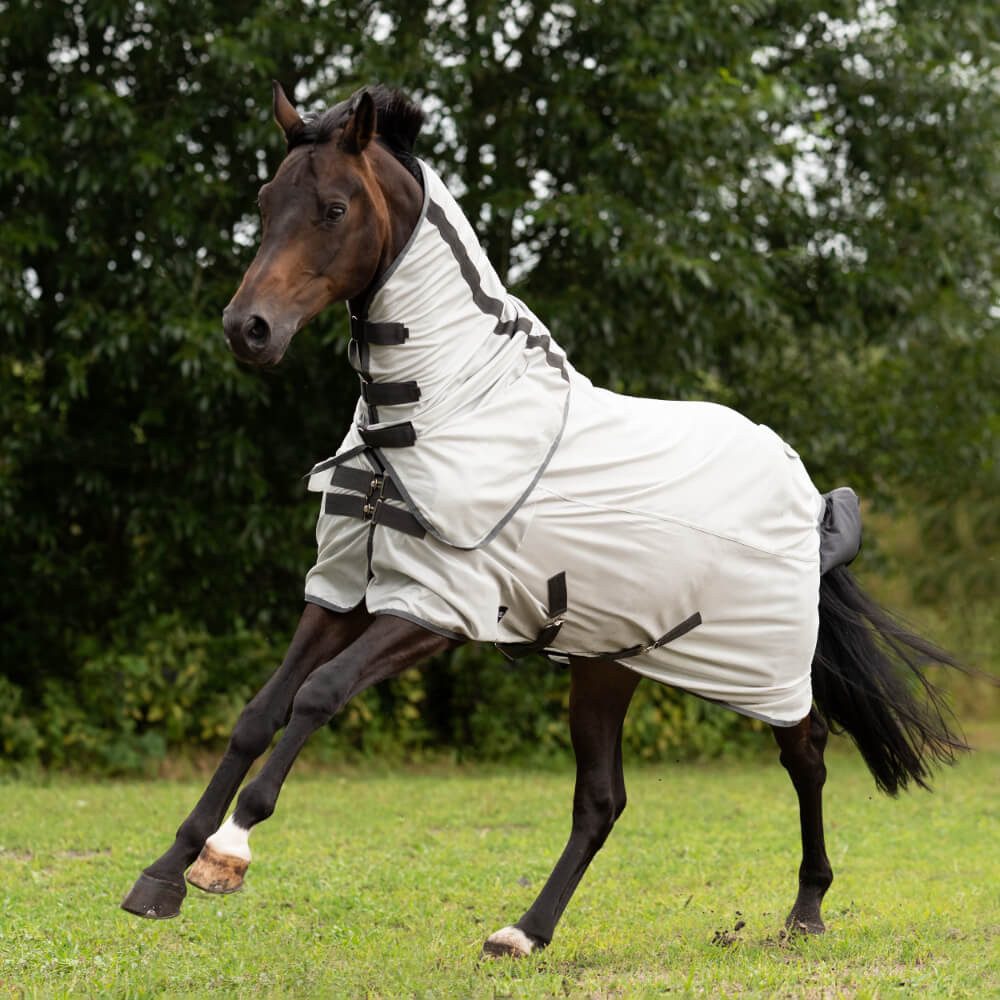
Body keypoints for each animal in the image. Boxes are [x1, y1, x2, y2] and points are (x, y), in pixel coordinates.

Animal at [121, 83, 969, 958]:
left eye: (333, 207)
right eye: (264, 202)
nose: (248, 329)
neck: (437, 415)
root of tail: (803, 489)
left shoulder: (432, 612)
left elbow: (318, 696)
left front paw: (227, 851)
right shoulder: (342, 593)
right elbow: (260, 711)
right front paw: (162, 875)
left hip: (762, 670)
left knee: (807, 754)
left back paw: (806, 909)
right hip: (606, 664)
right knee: (602, 800)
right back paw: (525, 932)